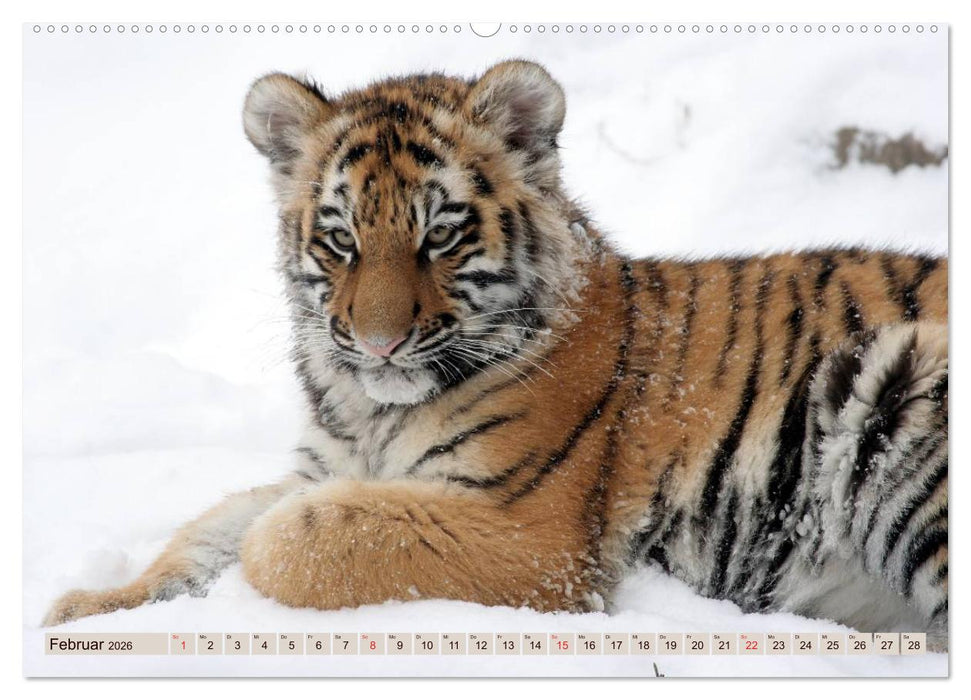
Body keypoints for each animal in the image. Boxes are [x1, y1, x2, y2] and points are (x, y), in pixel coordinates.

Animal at [43, 60, 948, 651]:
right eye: (340, 239)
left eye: (438, 235)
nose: (377, 340)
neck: (368, 409)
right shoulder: (321, 465)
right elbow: (204, 532)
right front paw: (87, 611)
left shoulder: (529, 537)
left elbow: (294, 536)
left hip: (899, 387)